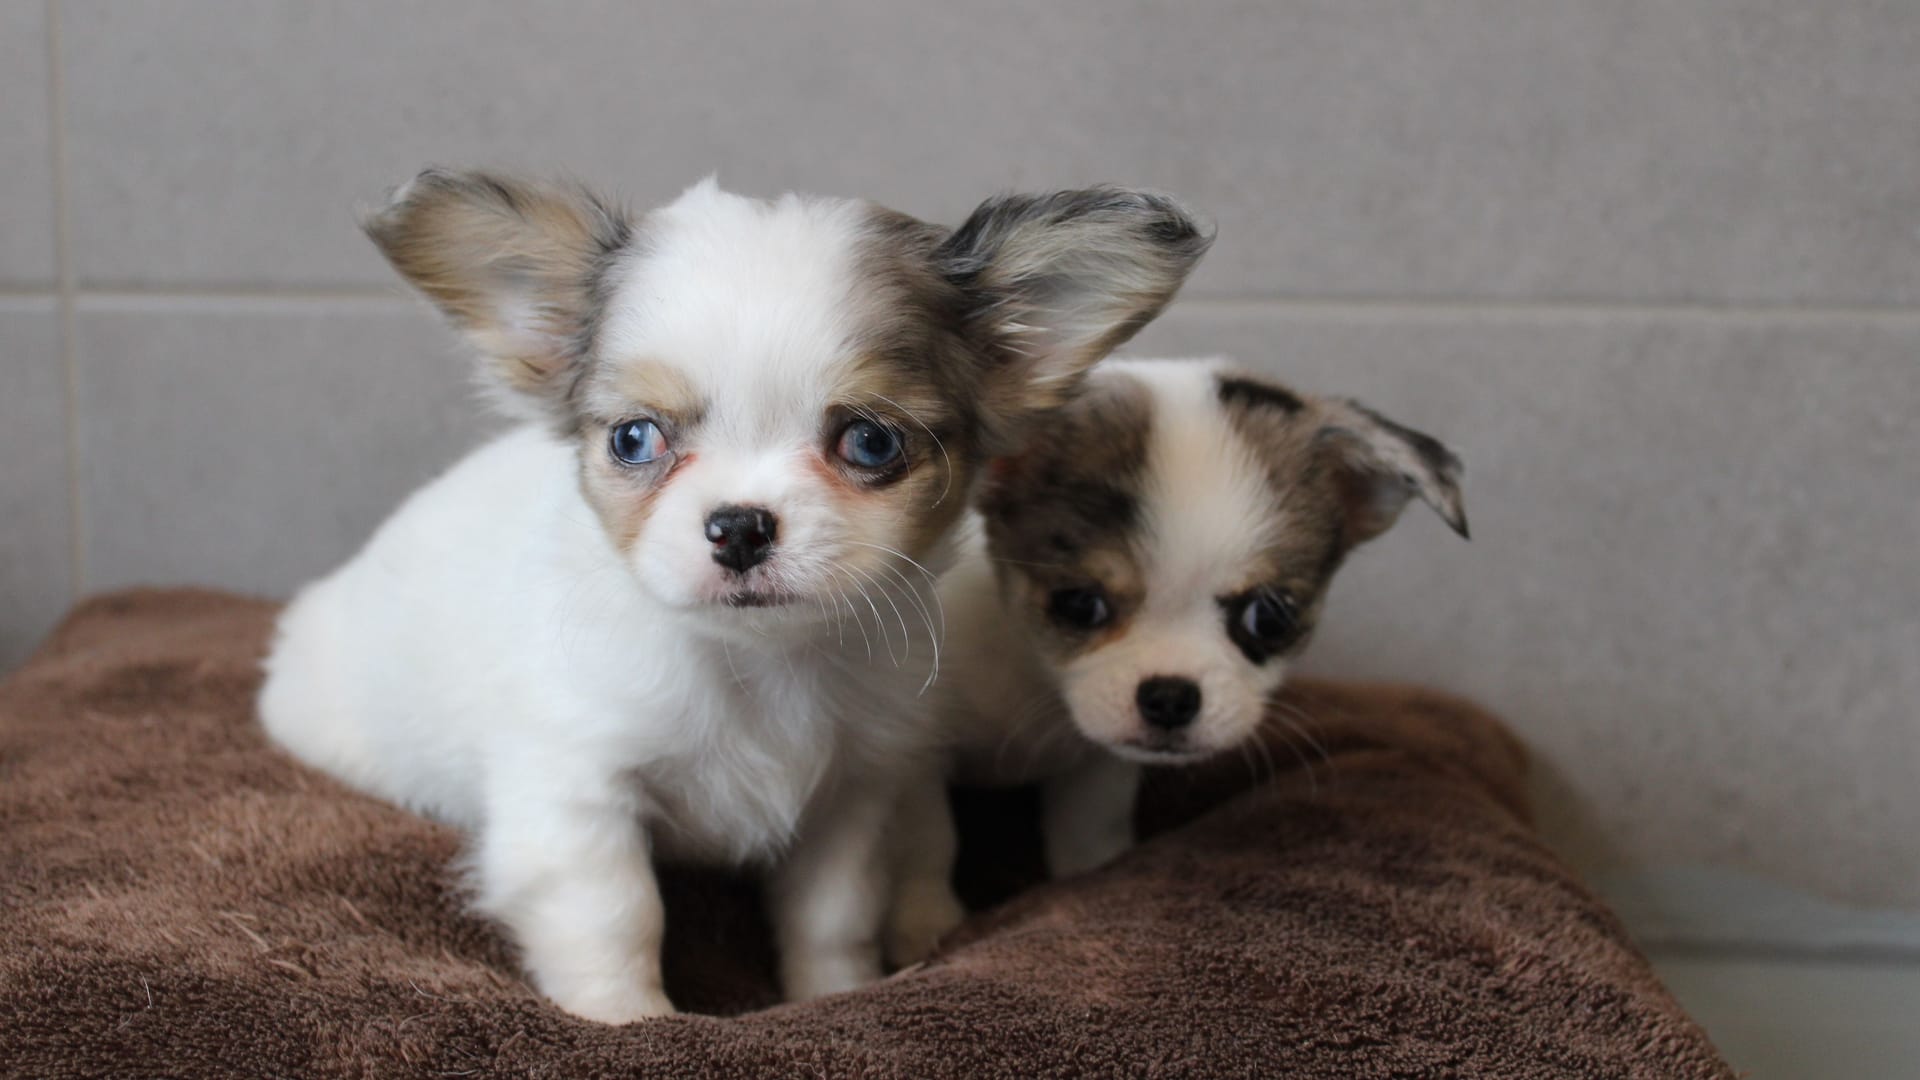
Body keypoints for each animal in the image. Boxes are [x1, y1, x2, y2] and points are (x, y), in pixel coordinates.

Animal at [255, 170, 1198, 1014]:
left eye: (870, 442)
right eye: (635, 439)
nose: (741, 525)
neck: (757, 666)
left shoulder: (850, 800)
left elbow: (833, 917)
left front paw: (833, 997)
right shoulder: (574, 793)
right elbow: (615, 917)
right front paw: (626, 1022)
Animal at [883, 355, 1466, 957]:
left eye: (1269, 618)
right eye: (1079, 604)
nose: (1169, 698)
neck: (1034, 669)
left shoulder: (1101, 766)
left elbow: (1087, 840)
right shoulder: (913, 762)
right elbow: (928, 846)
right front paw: (927, 932)